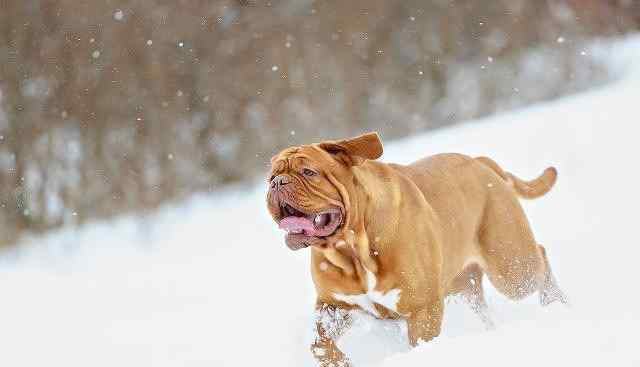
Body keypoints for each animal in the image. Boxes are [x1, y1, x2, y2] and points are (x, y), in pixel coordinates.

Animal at [268, 132, 568, 366]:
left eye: (309, 172)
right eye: (272, 176)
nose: (277, 183)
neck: (352, 249)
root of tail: (481, 162)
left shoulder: (422, 308)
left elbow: (421, 340)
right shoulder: (335, 305)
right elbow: (319, 342)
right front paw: (338, 360)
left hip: (512, 268)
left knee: (540, 258)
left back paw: (556, 302)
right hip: (461, 281)